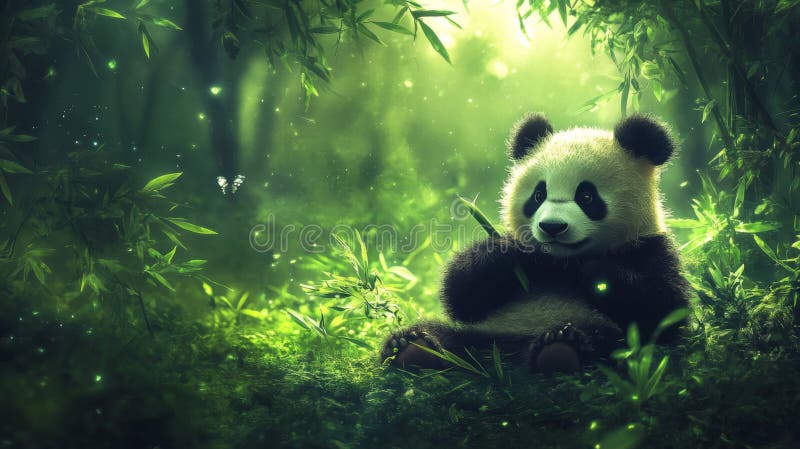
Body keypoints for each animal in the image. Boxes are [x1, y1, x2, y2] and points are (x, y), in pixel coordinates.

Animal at [381, 113, 692, 373]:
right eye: (539, 195)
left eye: (587, 196)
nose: (552, 227)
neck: (557, 261)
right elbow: (461, 295)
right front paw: (506, 256)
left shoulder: (650, 247)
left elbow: (664, 311)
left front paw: (591, 270)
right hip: (490, 331)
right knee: (447, 335)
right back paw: (413, 348)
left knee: (609, 344)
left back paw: (560, 348)